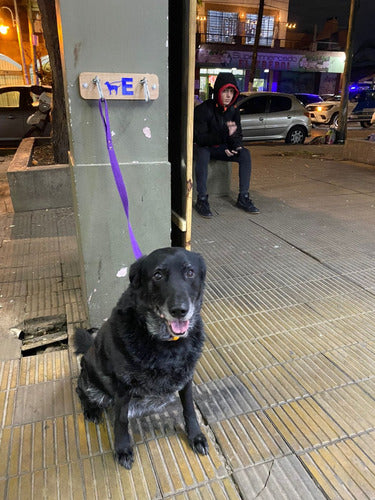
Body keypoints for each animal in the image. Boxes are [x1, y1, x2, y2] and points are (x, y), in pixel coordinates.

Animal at [73, 246, 209, 468]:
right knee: (81, 391)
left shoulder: (187, 377)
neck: (166, 343)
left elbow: (189, 408)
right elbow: (120, 420)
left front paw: (196, 436)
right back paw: (91, 410)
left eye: (190, 272)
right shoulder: (122, 386)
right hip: (90, 380)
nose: (180, 310)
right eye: (158, 275)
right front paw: (122, 449)